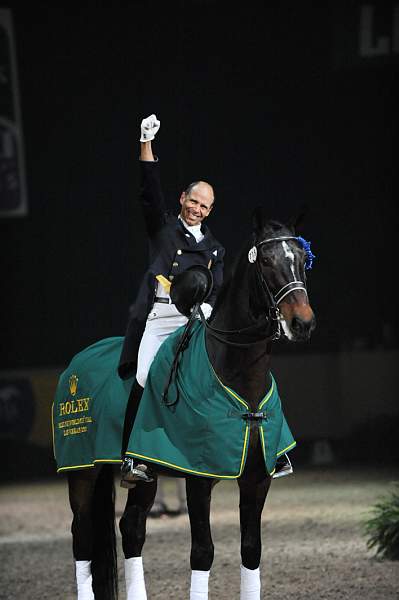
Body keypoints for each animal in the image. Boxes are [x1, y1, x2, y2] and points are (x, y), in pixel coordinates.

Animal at [65, 209, 316, 596]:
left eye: (303, 260)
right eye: (267, 262)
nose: (302, 323)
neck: (238, 379)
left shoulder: (257, 479)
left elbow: (251, 550)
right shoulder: (197, 478)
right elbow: (203, 552)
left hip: (145, 476)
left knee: (132, 529)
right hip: (81, 472)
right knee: (82, 535)